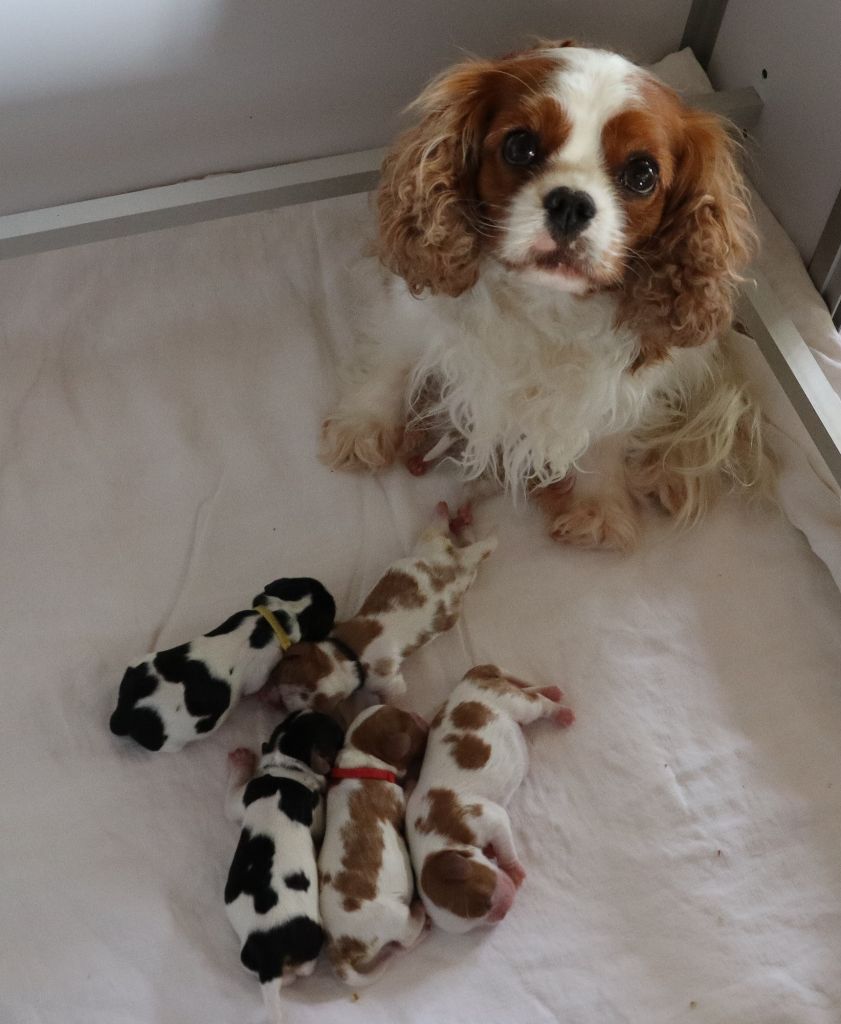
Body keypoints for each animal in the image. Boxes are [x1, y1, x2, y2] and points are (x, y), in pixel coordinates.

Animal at [224, 712, 346, 1024]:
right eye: (335, 729)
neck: (285, 766)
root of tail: (270, 959)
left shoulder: (243, 797)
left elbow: (231, 802)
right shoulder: (315, 814)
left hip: (246, 957)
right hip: (313, 939)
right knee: (302, 970)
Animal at [262, 501, 495, 712]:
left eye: (287, 707)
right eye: (280, 678)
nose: (269, 699)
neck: (347, 655)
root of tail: (457, 563)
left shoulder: (389, 683)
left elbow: (391, 695)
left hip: (433, 551)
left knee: (443, 530)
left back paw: (445, 512)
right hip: (452, 567)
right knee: (461, 538)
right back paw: (462, 520)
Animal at [317, 704, 430, 983]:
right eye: (410, 721)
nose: (422, 717)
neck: (361, 760)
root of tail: (340, 949)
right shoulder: (396, 800)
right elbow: (406, 794)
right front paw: (412, 781)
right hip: (394, 916)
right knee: (407, 937)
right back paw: (421, 916)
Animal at [403, 667, 573, 933]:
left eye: (485, 901)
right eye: (478, 924)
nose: (503, 914)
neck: (436, 842)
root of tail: (474, 675)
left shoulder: (488, 818)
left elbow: (504, 844)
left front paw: (514, 870)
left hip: (510, 702)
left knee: (536, 703)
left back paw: (562, 712)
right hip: (506, 695)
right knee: (527, 691)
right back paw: (551, 690)